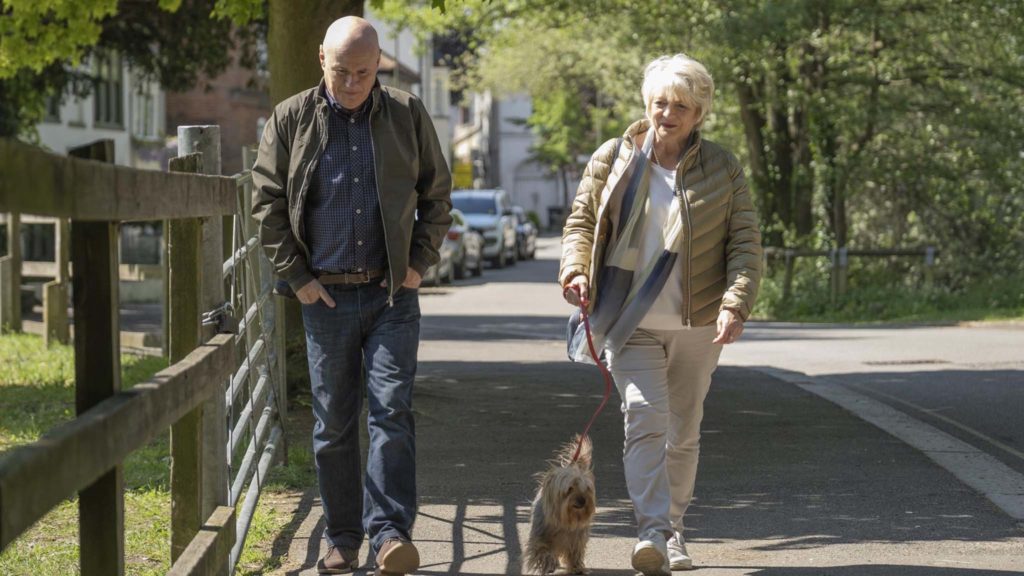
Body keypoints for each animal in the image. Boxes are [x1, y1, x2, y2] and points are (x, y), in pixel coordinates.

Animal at [524, 432, 598, 569]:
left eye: (587, 488)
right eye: (569, 489)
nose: (583, 501)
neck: (564, 520)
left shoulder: (577, 539)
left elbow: (575, 551)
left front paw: (577, 567)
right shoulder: (539, 537)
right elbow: (542, 549)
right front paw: (548, 562)